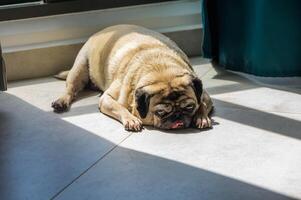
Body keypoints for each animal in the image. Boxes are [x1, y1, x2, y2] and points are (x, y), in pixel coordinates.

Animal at [51, 23, 212, 131]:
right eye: (160, 112)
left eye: (189, 107)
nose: (178, 116)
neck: (159, 68)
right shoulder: (106, 99)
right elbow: (120, 108)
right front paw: (131, 119)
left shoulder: (204, 94)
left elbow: (202, 104)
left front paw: (201, 116)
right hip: (80, 67)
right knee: (70, 89)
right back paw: (61, 101)